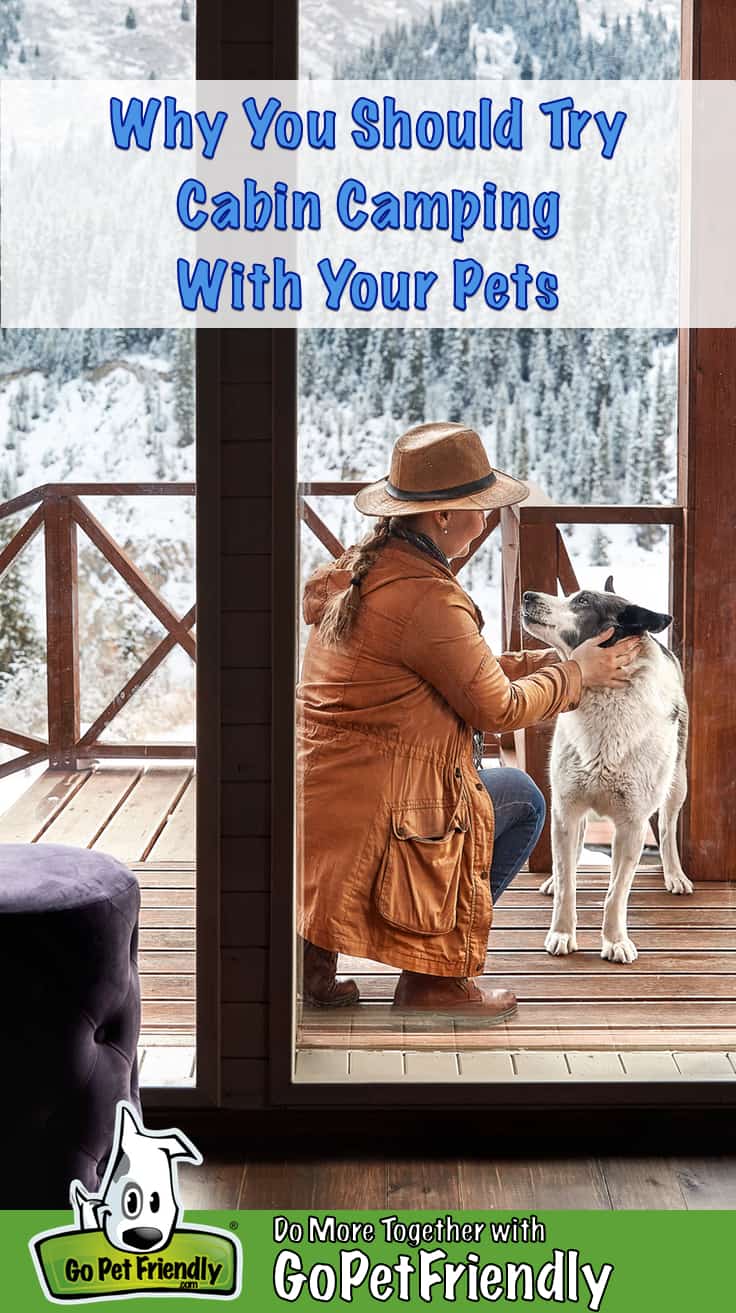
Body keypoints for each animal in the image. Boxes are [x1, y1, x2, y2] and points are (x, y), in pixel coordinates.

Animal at [519, 577, 692, 966]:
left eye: (583, 601)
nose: (527, 595)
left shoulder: (632, 824)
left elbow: (617, 892)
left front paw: (615, 941)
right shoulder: (566, 809)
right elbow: (567, 882)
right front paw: (562, 933)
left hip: (677, 784)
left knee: (668, 827)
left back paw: (674, 874)